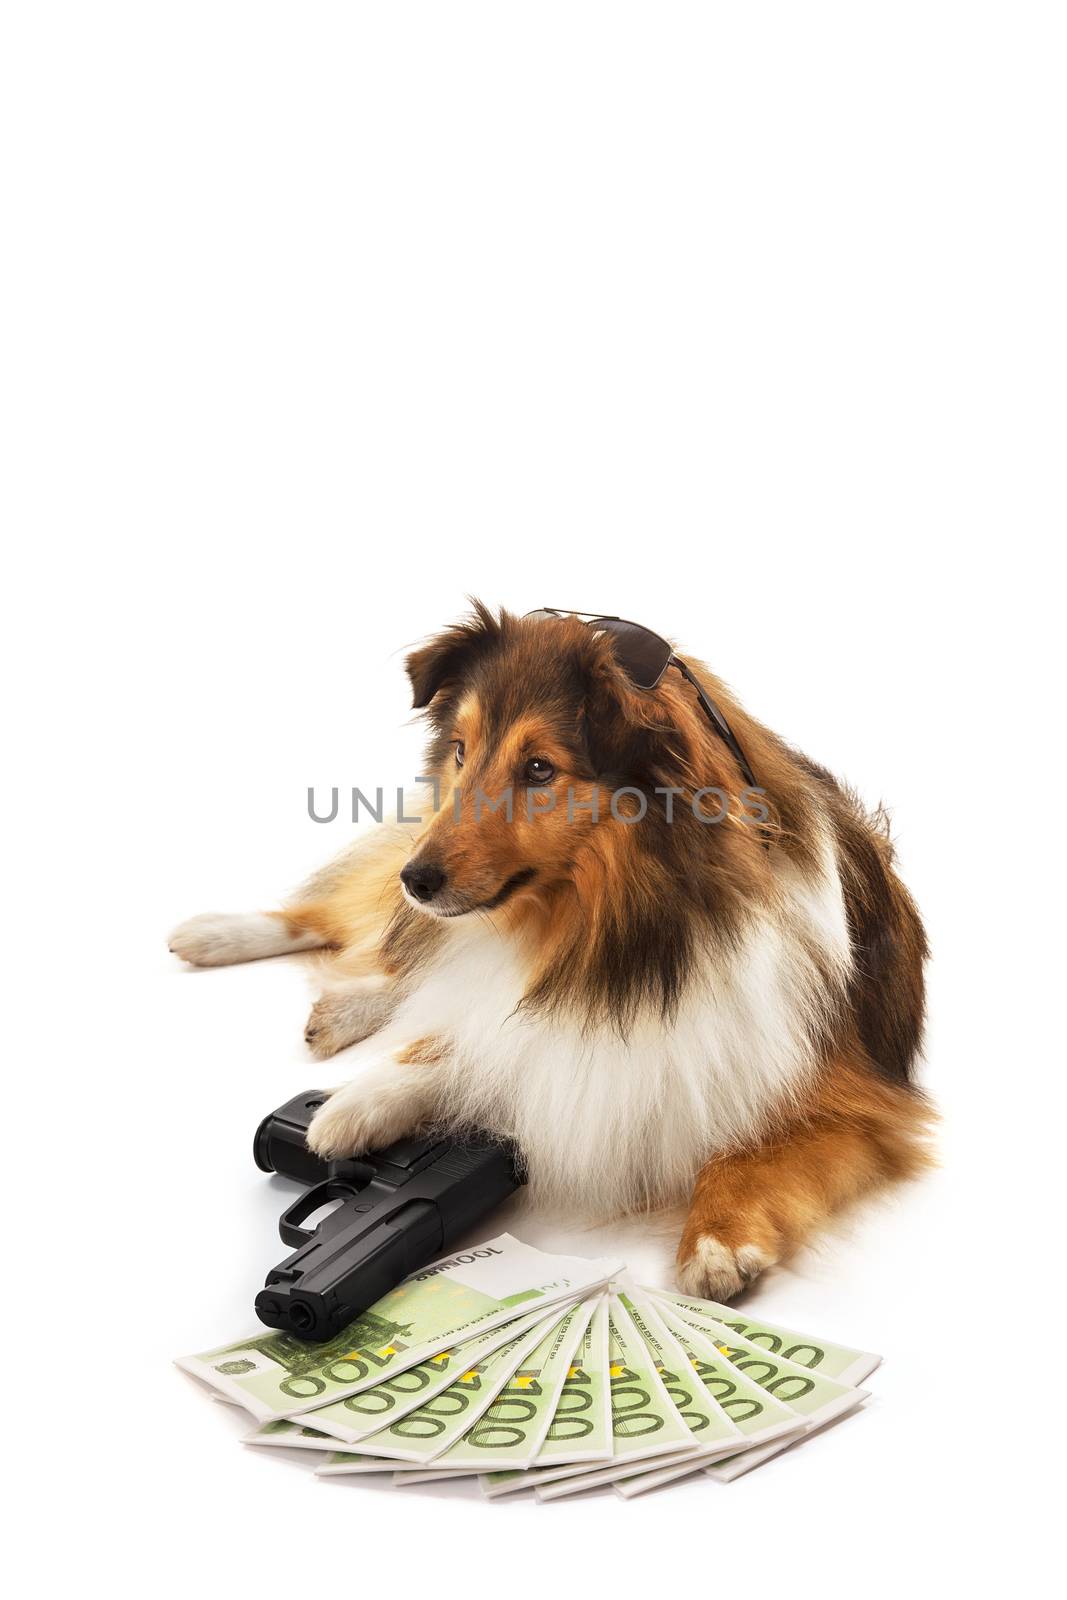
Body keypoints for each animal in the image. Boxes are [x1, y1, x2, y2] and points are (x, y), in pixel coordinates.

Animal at [171, 601, 927, 1299]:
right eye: (460, 751)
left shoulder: (847, 1089)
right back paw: (215, 936)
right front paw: (354, 1103)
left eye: (538, 768)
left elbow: (747, 1151)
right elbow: (466, 1037)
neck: (612, 939)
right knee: (360, 930)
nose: (416, 880)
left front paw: (716, 1239)